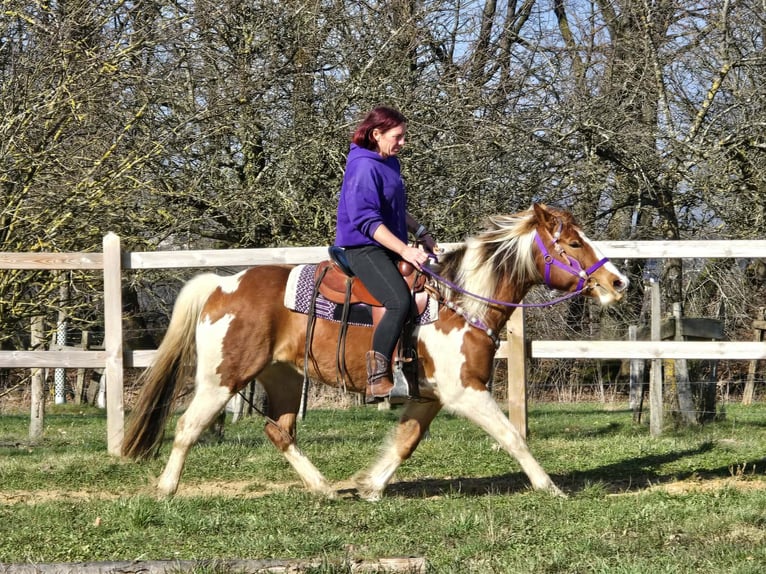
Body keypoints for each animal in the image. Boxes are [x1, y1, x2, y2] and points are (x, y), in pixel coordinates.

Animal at [122, 203, 629, 500]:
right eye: (573, 242)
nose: (618, 282)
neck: (460, 302)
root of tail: (221, 285)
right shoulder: (464, 391)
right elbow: (513, 436)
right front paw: (550, 488)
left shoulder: (430, 396)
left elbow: (406, 442)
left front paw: (370, 486)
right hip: (222, 379)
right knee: (186, 427)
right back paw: (166, 489)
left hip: (283, 377)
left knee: (279, 432)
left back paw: (325, 488)